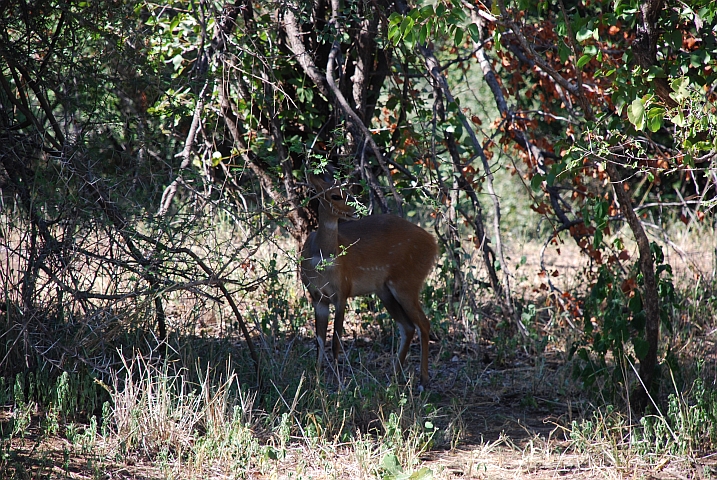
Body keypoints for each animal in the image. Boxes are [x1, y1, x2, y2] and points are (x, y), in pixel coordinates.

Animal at [300, 174, 436, 388]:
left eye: (349, 191)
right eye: (335, 195)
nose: (355, 210)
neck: (322, 259)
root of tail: (434, 244)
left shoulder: (342, 292)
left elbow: (336, 340)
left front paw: (339, 383)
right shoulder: (316, 297)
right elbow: (319, 340)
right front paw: (317, 380)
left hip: (407, 283)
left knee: (423, 323)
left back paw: (422, 381)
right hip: (384, 290)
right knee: (407, 327)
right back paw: (394, 377)